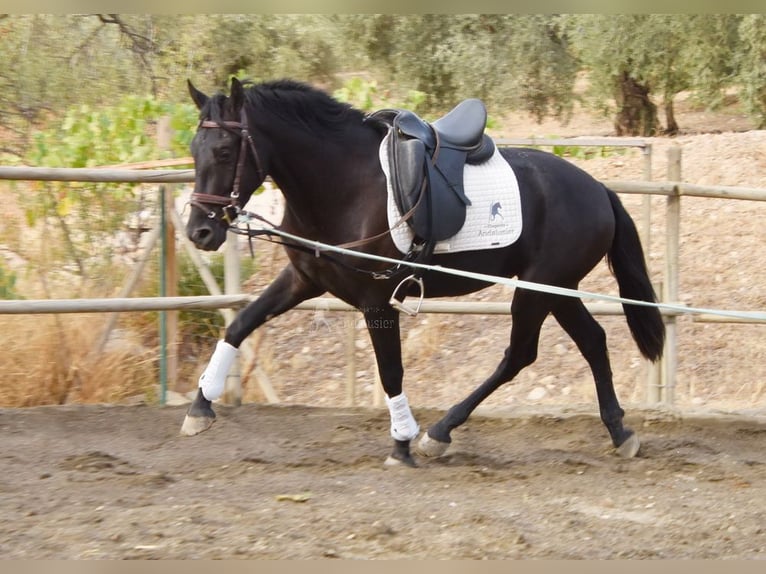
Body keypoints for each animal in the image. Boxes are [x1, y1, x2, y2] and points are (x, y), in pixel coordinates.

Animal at [182, 77, 664, 468]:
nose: (199, 232)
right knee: (591, 342)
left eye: (224, 151)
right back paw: (618, 432)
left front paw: (401, 443)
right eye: (193, 150)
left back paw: (438, 433)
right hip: (556, 290)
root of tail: (598, 189)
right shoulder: (304, 280)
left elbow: (390, 371)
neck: (345, 184)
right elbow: (240, 324)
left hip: (538, 290)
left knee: (520, 355)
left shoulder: (377, 301)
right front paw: (200, 405)